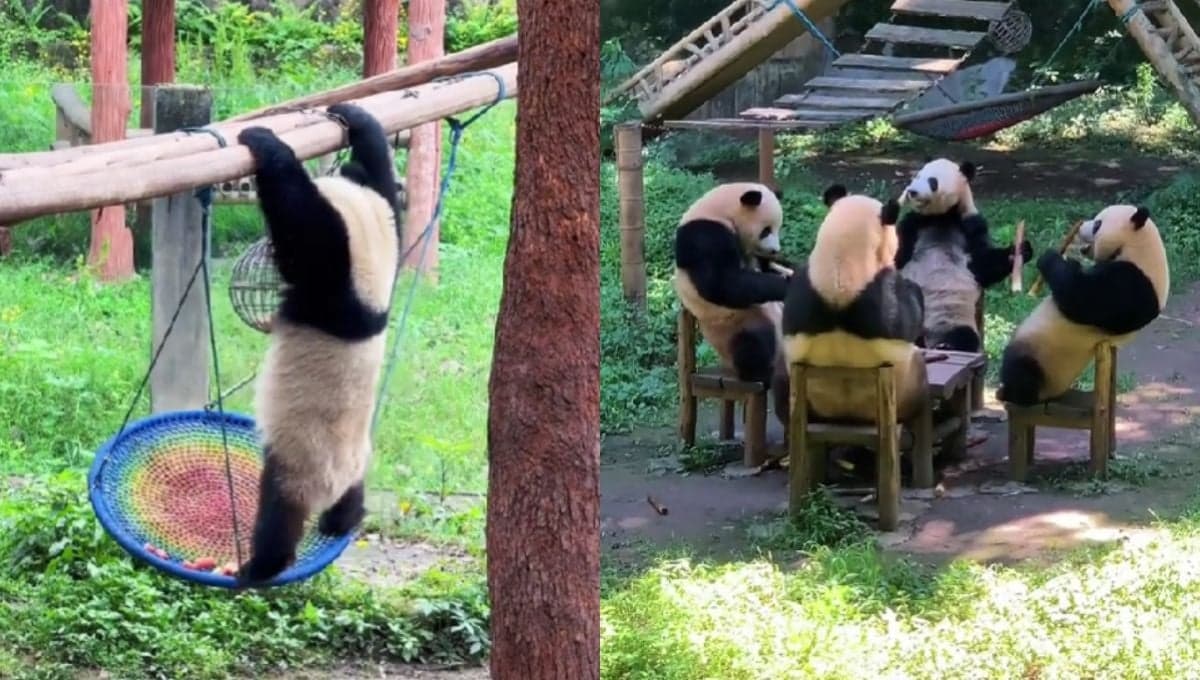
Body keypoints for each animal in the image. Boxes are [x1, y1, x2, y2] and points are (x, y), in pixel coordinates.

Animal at [233, 102, 402, 586]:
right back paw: (342, 520)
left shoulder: (332, 282)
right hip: (357, 458)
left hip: (301, 459)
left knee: (279, 511)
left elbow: (301, 229)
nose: (344, 169)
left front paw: (265, 143)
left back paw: (259, 566)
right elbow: (386, 189)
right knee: (354, 496)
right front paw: (358, 122)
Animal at [672, 182, 792, 427]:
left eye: (778, 228)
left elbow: (766, 267)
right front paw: (786, 284)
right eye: (766, 230)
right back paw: (759, 374)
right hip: (735, 325)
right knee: (754, 341)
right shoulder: (704, 235)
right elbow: (724, 284)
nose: (775, 250)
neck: (722, 212)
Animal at [781, 184, 928, 424]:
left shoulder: (800, 287)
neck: (839, 267)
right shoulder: (884, 295)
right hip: (909, 386)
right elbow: (911, 313)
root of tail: (847, 418)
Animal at [896, 157, 1032, 352]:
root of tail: (926, 338)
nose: (912, 192)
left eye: (932, 181)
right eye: (917, 176)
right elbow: (897, 255)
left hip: (951, 317)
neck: (942, 216)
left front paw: (1020, 251)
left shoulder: (971, 224)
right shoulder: (914, 224)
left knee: (963, 336)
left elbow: (982, 265)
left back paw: (946, 345)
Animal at [997, 204, 1169, 406]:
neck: (1140, 250)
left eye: (1097, 224)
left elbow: (1082, 298)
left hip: (1041, 358)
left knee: (1019, 370)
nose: (1080, 227)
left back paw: (1011, 393)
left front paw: (1051, 257)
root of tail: (1048, 395)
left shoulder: (1134, 284)